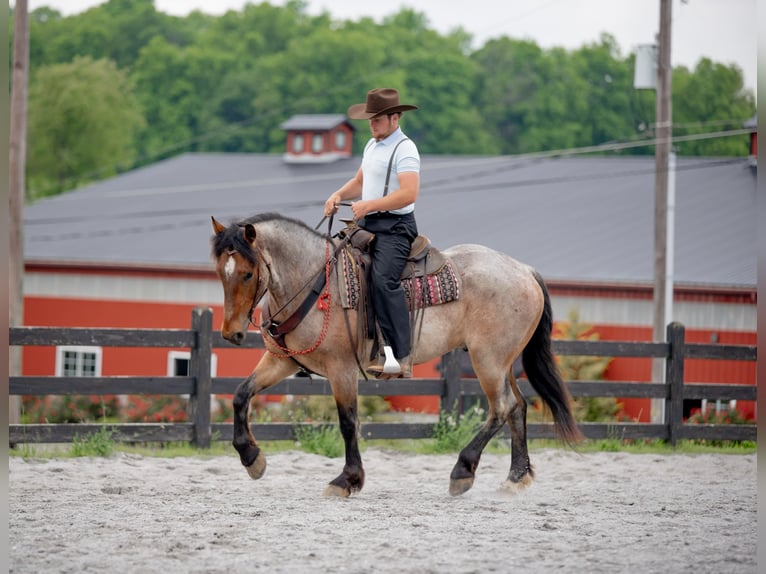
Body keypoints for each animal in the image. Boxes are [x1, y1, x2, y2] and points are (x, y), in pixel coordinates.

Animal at [210, 214, 584, 498]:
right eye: (219, 273)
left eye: (247, 273)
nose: (231, 334)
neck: (317, 282)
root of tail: (523, 269)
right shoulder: (282, 360)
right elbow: (241, 394)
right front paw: (251, 457)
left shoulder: (341, 369)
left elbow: (348, 422)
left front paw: (347, 479)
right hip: (502, 362)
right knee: (517, 407)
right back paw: (516, 477)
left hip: (488, 361)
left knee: (502, 407)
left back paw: (462, 470)